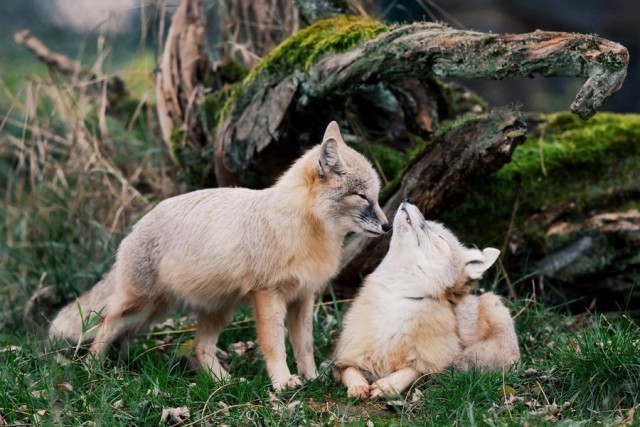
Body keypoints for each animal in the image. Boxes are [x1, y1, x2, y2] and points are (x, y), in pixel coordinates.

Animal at [48, 120, 390, 392]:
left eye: (375, 197)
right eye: (362, 197)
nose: (388, 226)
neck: (299, 227)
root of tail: (135, 227)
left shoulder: (303, 296)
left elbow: (303, 345)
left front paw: (311, 377)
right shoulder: (269, 294)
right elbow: (275, 345)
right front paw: (282, 382)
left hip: (208, 311)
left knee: (200, 347)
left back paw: (223, 382)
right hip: (141, 307)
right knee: (102, 328)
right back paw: (92, 369)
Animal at [332, 199, 516, 400]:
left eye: (439, 237)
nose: (408, 199)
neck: (396, 297)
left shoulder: (429, 360)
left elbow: (411, 371)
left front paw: (388, 385)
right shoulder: (346, 354)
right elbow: (350, 370)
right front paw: (358, 386)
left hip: (494, 304)